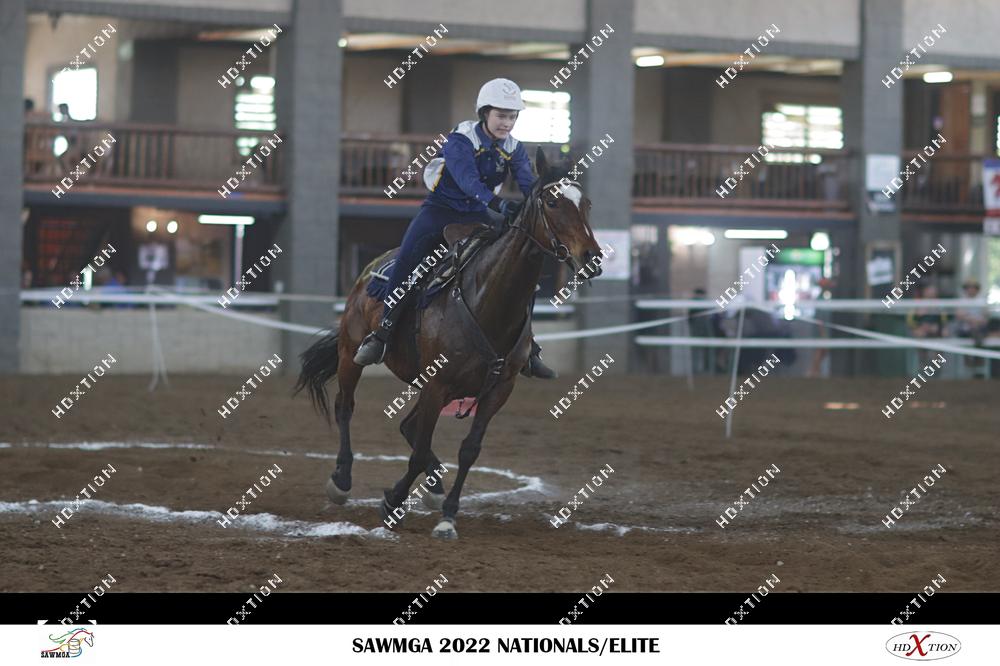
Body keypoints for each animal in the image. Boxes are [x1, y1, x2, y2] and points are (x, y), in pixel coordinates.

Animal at [295, 147, 604, 539]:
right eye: (552, 202)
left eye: (587, 203)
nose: (592, 257)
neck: (487, 298)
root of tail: (370, 270)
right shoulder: (437, 382)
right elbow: (418, 450)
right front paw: (392, 503)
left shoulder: (497, 389)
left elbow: (468, 449)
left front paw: (447, 515)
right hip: (352, 355)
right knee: (346, 407)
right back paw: (342, 480)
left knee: (409, 427)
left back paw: (435, 487)